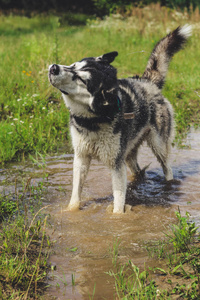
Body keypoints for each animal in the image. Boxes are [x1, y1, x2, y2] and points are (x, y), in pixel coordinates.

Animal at [48, 25, 192, 213]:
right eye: (73, 66)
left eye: (80, 79)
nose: (53, 68)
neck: (93, 121)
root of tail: (148, 82)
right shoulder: (81, 157)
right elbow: (76, 193)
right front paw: (71, 211)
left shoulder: (116, 165)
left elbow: (118, 200)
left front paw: (117, 218)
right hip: (128, 154)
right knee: (138, 170)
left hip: (159, 146)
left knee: (167, 168)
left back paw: (168, 186)